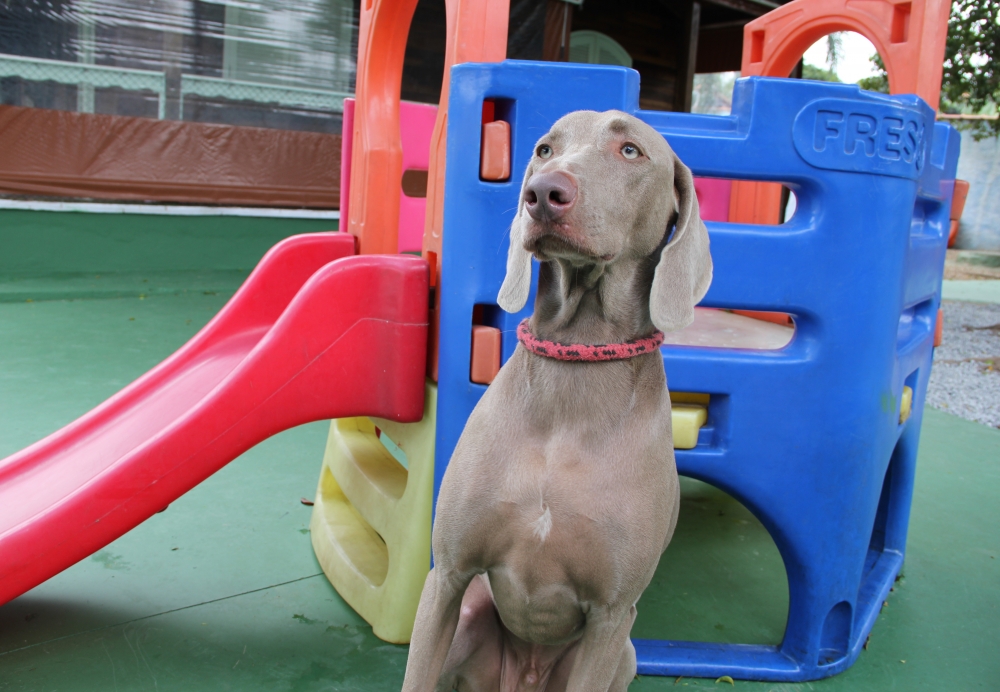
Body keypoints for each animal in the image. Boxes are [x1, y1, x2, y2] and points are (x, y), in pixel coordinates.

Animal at [402, 111, 716, 688]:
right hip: (470, 613)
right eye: (545, 149)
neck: (576, 369)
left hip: (626, 653)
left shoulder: (612, 616)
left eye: (631, 150)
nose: (543, 193)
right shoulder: (448, 576)